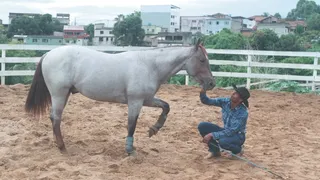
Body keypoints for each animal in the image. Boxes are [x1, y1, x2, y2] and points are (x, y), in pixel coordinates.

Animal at [24, 38, 215, 155]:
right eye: (202, 60)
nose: (211, 83)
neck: (149, 65)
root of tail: (48, 54)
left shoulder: (147, 100)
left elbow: (166, 106)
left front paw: (154, 129)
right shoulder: (135, 102)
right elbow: (131, 125)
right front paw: (130, 150)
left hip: (63, 95)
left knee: (54, 118)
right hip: (59, 94)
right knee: (56, 118)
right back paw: (62, 147)